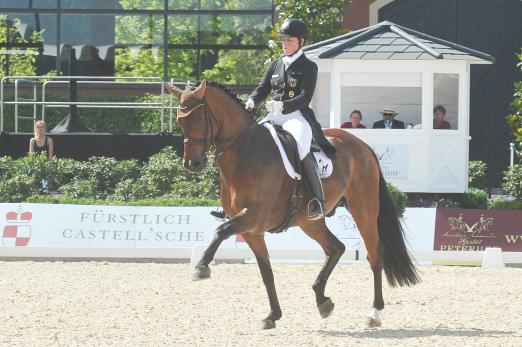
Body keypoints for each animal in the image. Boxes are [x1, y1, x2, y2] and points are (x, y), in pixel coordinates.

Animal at [167, 80, 418, 330]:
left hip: (363, 210)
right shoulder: (252, 230)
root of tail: (363, 145)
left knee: (374, 256)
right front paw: (272, 315)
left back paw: (374, 313)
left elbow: (221, 230)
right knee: (335, 248)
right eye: (179, 119)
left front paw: (202, 266)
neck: (245, 154)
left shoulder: (255, 217)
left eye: (199, 119)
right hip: (309, 221)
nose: (192, 164)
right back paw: (322, 300)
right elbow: (266, 272)